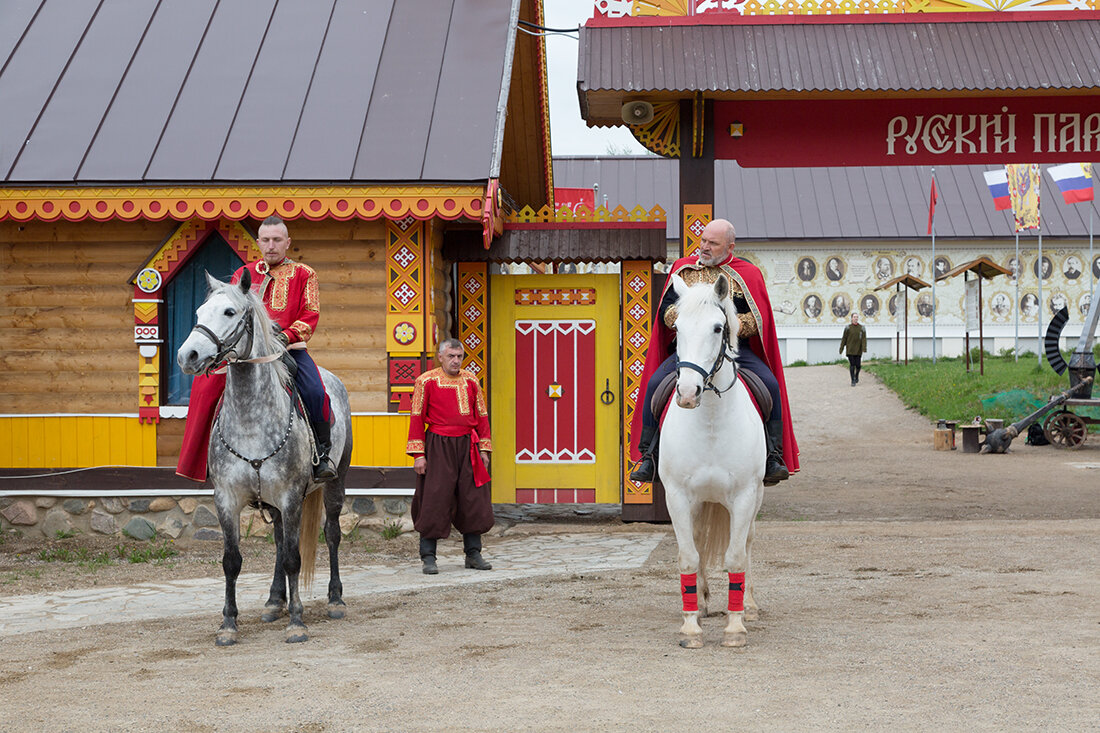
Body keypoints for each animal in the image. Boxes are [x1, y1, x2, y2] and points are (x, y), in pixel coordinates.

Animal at [178, 270, 352, 642]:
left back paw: (335, 599)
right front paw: (228, 624)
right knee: (278, 541)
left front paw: (297, 621)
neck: (251, 420)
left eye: (230, 312)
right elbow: (232, 560)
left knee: (331, 533)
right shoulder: (227, 499)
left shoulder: (291, 497)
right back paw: (274, 601)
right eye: (199, 312)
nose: (189, 356)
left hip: (336, 483)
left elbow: (294, 559)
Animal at [655, 272, 770, 647]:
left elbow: (736, 556)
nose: (688, 394)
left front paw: (735, 628)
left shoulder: (745, 496)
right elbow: (688, 557)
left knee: (747, 543)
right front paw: (691, 627)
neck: (710, 424)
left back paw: (749, 606)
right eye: (677, 328)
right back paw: (703, 603)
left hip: (756, 496)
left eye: (718, 328)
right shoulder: (677, 497)